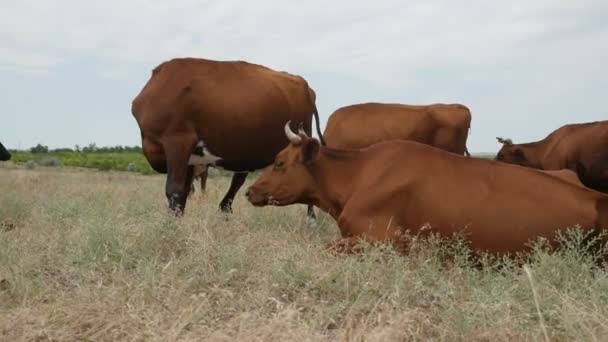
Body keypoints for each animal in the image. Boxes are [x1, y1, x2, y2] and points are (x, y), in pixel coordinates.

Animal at [131, 57, 326, 215]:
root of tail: (302, 82)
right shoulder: (191, 158)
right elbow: (185, 192)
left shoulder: (178, 141)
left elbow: (175, 190)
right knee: (237, 182)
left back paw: (311, 220)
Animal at [243, 123, 608, 256]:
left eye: (279, 162)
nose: (249, 192)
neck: (358, 176)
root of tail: (598, 197)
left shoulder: (385, 237)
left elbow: (328, 247)